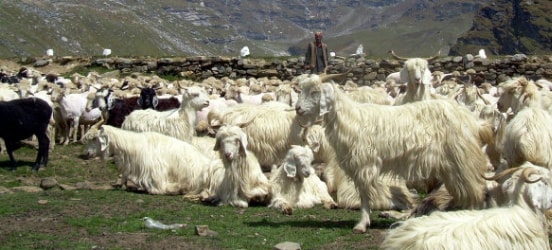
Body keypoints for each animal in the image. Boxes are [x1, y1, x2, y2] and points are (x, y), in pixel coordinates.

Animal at [296, 73, 490, 232]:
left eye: (315, 91)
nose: (297, 108)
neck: (352, 118)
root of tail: (472, 120)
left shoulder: (365, 164)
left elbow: (365, 195)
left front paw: (362, 224)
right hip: (450, 165)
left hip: (462, 158)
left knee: (475, 189)